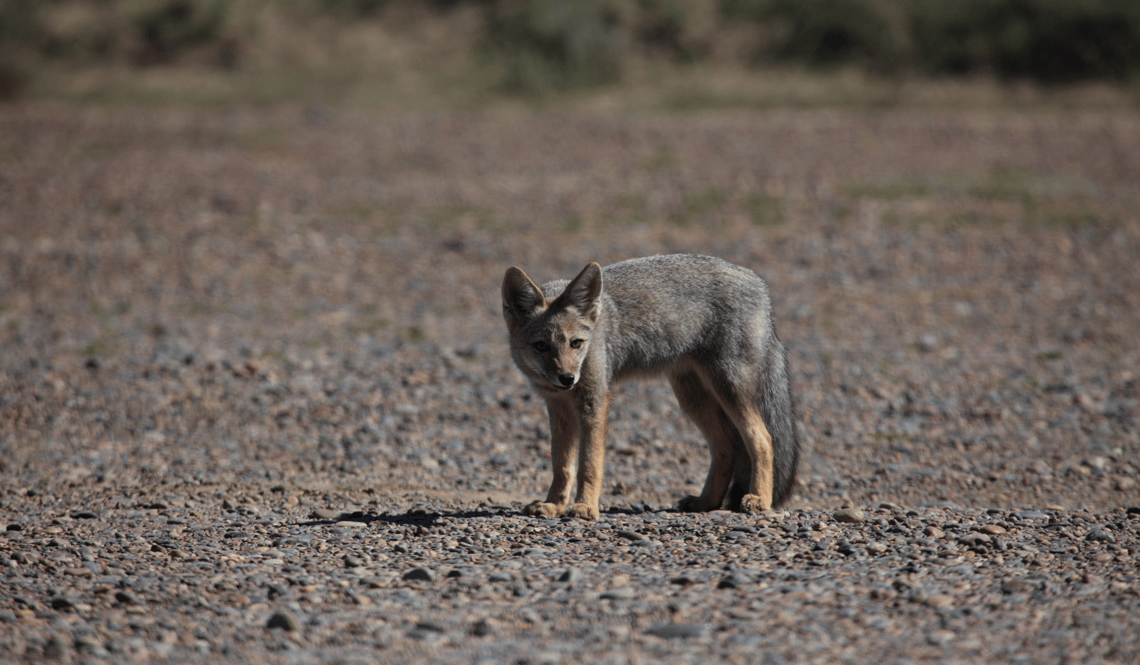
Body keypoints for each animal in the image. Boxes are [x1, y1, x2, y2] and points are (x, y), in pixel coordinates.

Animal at [503, 253, 798, 520]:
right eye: (541, 346)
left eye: (576, 343)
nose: (567, 378)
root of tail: (758, 283)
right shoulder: (558, 407)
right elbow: (562, 466)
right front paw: (553, 505)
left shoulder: (594, 399)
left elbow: (589, 463)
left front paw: (585, 507)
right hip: (692, 399)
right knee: (727, 444)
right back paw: (706, 502)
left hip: (728, 388)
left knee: (763, 438)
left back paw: (759, 499)